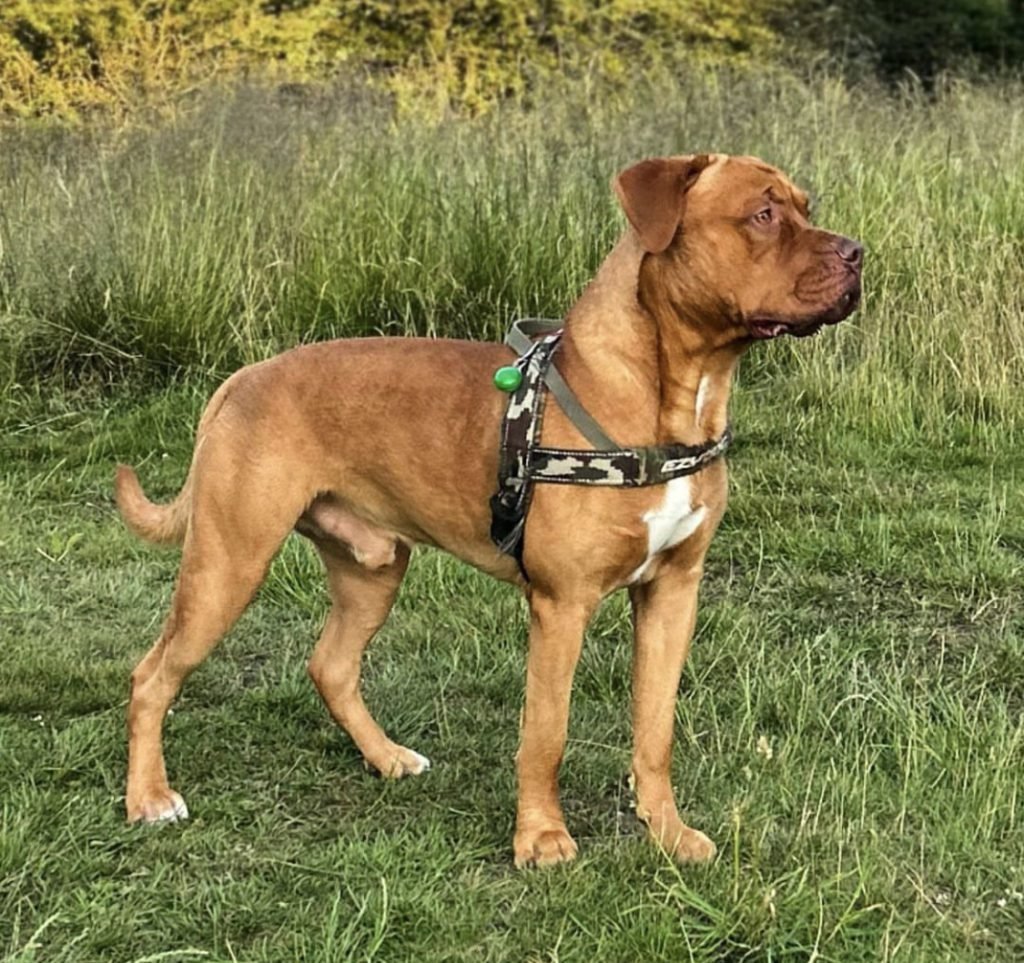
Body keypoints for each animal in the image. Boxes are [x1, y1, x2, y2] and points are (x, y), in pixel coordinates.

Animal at [116, 155, 860, 864]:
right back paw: (148, 797)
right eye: (762, 214)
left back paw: (387, 757)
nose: (857, 253)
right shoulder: (562, 605)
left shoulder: (673, 592)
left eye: (806, 207)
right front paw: (542, 840)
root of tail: (240, 379)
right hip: (228, 566)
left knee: (331, 665)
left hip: (372, 566)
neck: (675, 395)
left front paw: (669, 833)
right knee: (152, 675)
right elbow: (545, 733)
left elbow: (655, 731)